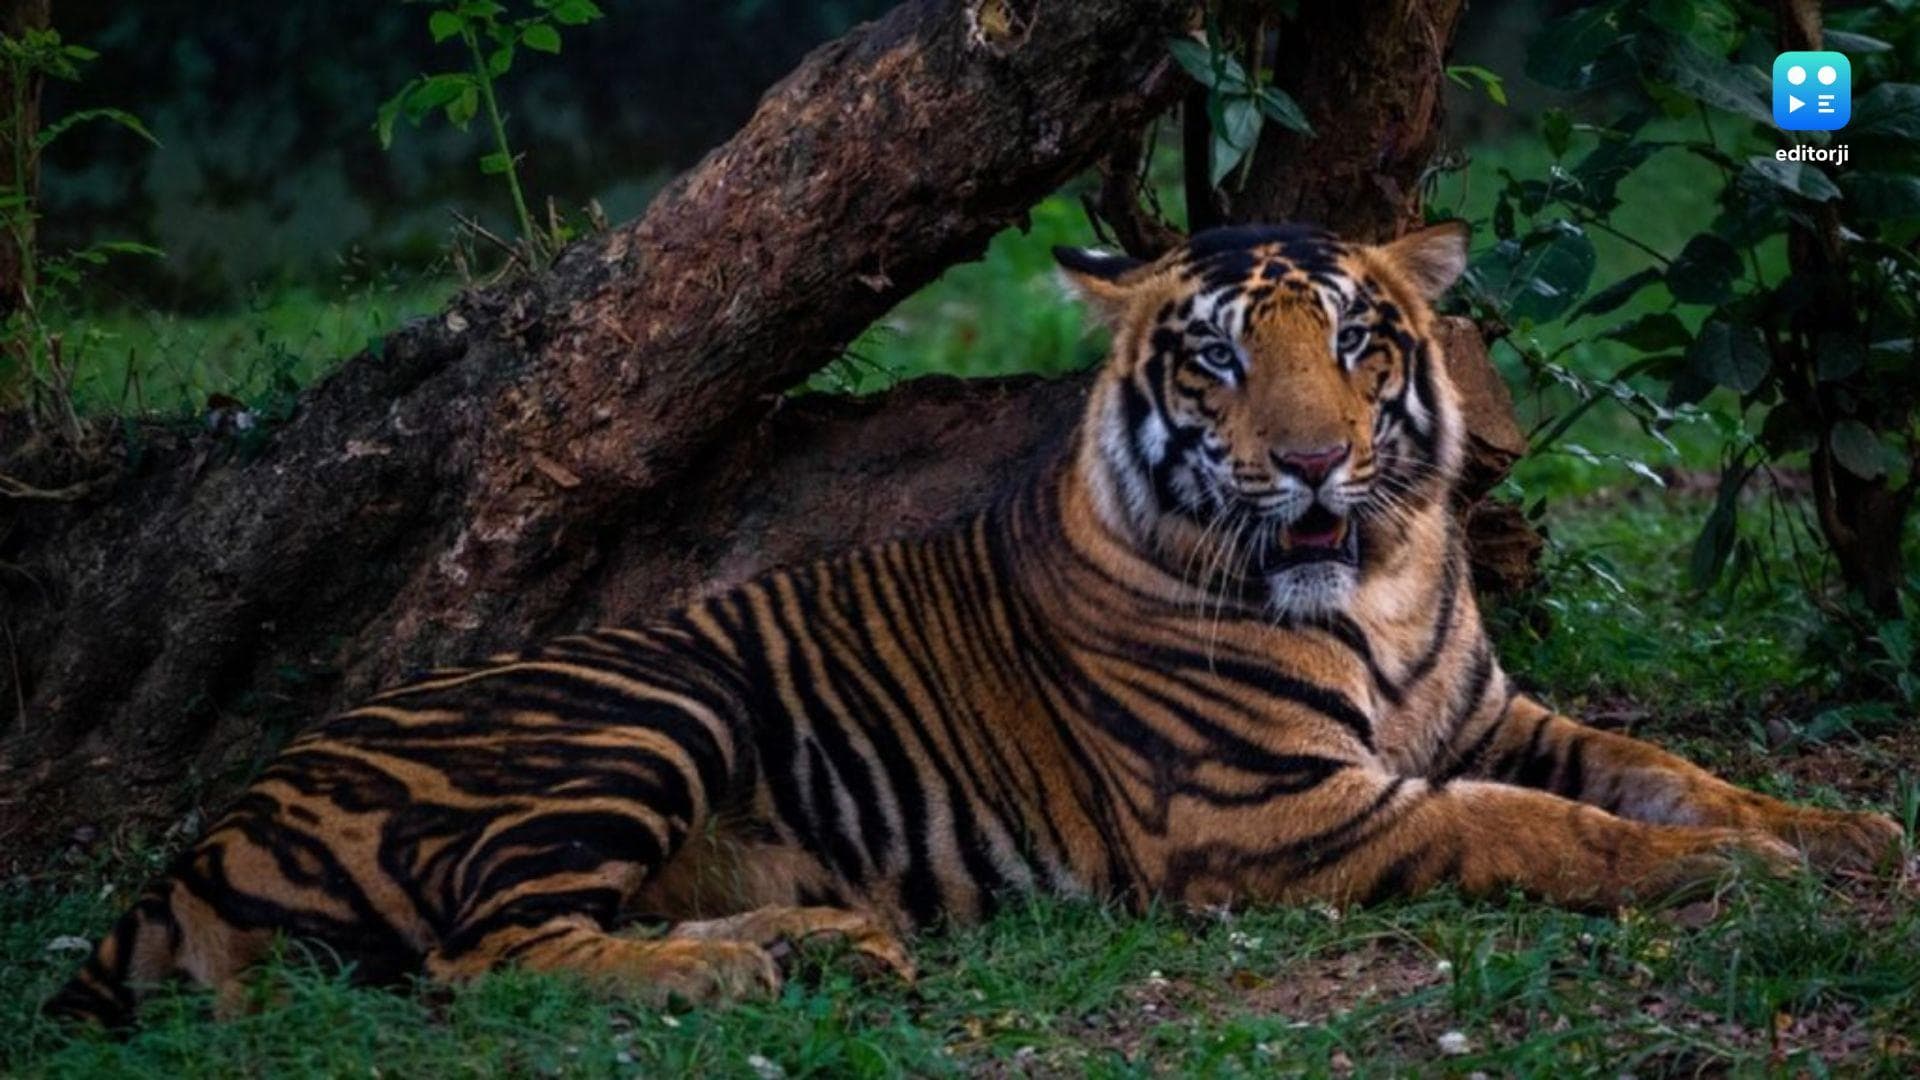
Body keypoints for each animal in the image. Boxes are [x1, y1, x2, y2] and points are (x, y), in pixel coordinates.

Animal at [48, 221, 1902, 1027]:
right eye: (1216, 358)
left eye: (1359, 346)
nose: (1313, 461)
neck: (1371, 580)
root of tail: (207, 838)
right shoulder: (1269, 815)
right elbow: (1538, 831)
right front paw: (1743, 876)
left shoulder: (1482, 715)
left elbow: (1657, 768)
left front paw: (1847, 833)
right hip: (643, 707)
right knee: (482, 963)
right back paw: (752, 968)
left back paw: (825, 944)